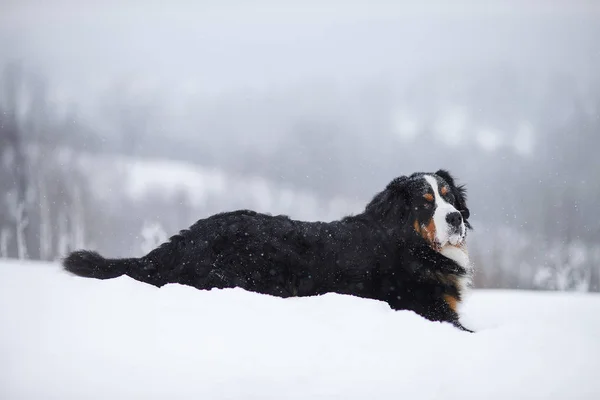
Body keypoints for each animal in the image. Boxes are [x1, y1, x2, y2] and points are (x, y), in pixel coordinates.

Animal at [61, 169, 474, 332]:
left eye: (449, 197)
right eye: (425, 204)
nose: (456, 218)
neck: (410, 245)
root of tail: (186, 237)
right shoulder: (433, 312)